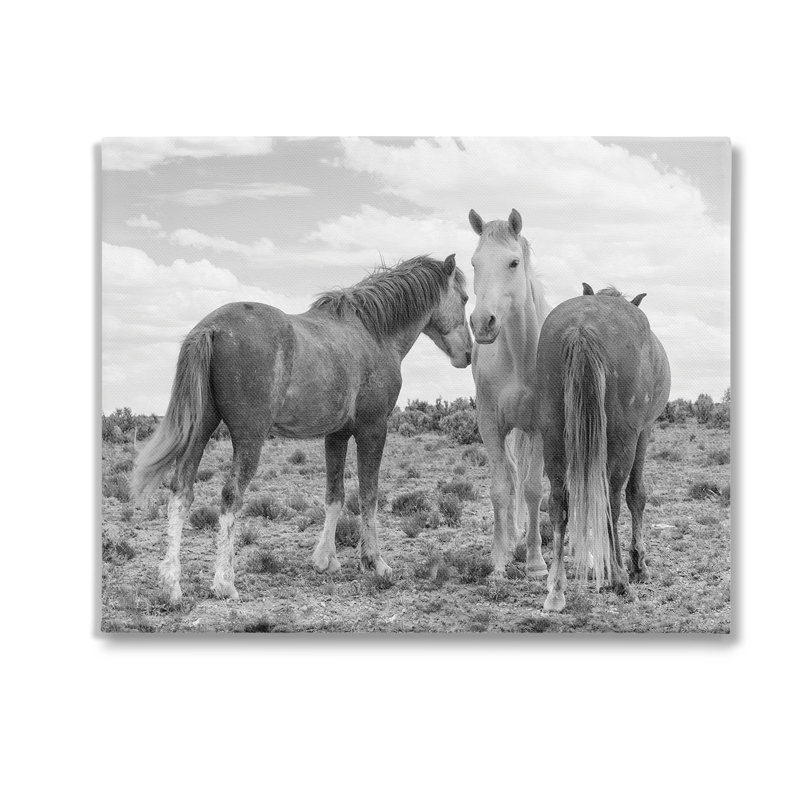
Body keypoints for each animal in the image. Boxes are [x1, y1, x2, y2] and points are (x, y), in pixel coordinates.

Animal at [131, 254, 472, 604]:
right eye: (464, 298)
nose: (468, 354)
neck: (373, 333)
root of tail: (210, 328)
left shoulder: (336, 435)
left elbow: (335, 495)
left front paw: (325, 559)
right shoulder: (373, 429)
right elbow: (369, 496)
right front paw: (375, 562)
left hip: (200, 430)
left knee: (181, 492)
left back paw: (172, 584)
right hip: (249, 439)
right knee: (230, 496)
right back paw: (224, 582)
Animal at [533, 286, 670, 612]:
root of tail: (582, 327)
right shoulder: (643, 431)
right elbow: (636, 495)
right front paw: (638, 567)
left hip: (553, 435)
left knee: (558, 503)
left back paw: (556, 590)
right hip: (623, 440)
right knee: (612, 501)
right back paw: (621, 579)